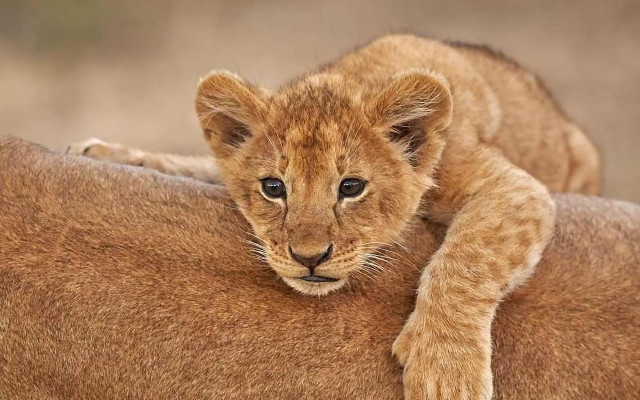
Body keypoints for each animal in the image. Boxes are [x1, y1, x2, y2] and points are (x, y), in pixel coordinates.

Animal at [67, 35, 601, 399]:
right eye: (273, 187)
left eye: (350, 187)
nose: (309, 257)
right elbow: (197, 166)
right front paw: (110, 153)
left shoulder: (514, 188)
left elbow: (467, 261)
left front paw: (444, 370)